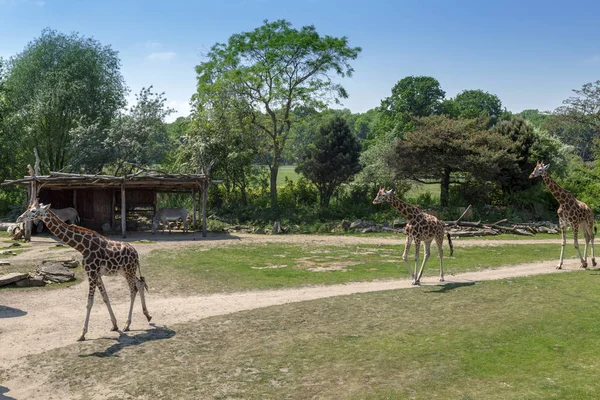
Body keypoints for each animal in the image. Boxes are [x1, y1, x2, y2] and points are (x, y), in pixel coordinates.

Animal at [17, 200, 152, 340]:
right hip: (125, 271)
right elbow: (105, 297)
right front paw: (114, 325)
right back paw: (147, 316)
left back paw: (127, 324)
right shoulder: (96, 274)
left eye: (33, 210)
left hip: (128, 270)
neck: (82, 247)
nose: (19, 218)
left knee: (133, 290)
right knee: (140, 283)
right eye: (28, 208)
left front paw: (82, 333)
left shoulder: (91, 273)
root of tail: (136, 253)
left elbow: (89, 302)